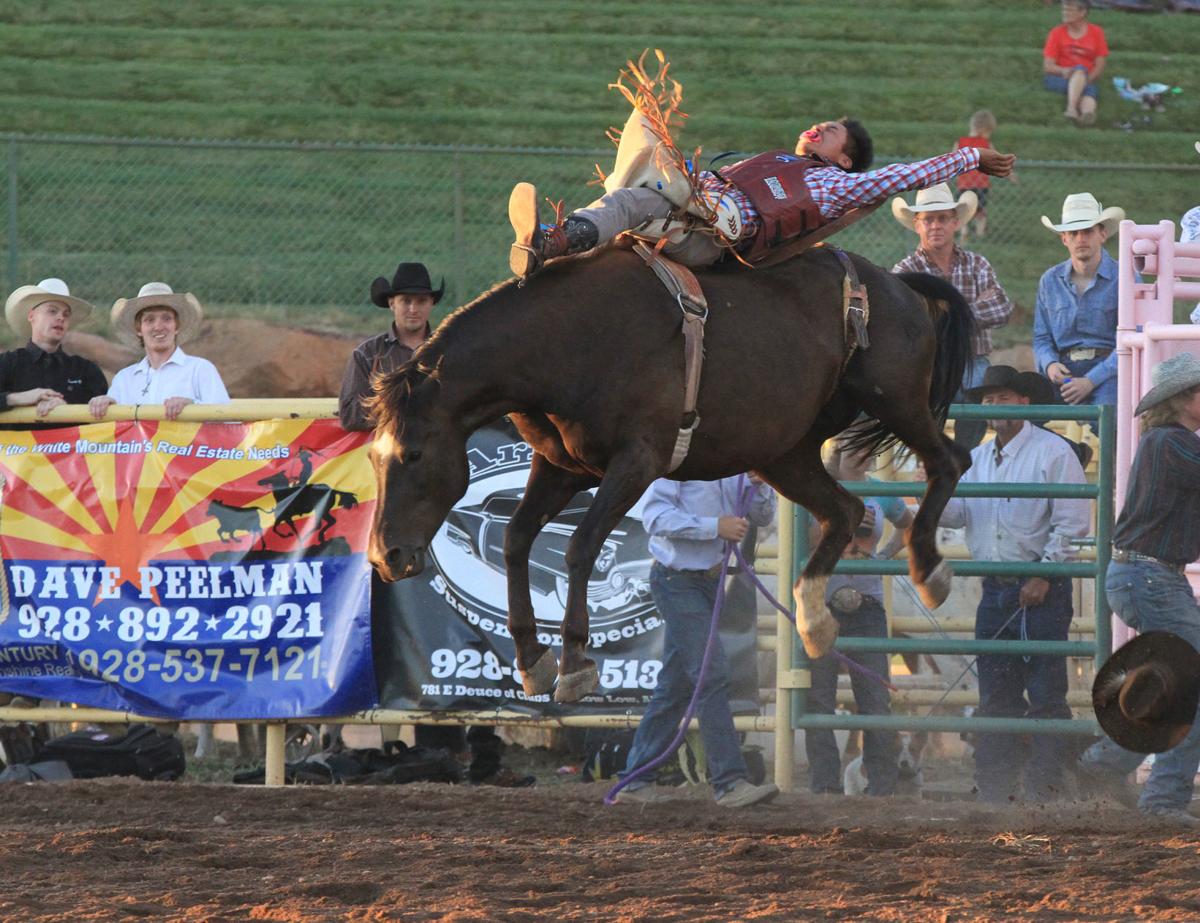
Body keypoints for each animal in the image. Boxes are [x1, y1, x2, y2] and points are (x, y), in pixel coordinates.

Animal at [364, 244, 974, 700]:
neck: (567, 340)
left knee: (950, 462)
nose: (385, 555)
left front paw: (576, 663)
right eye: (373, 456)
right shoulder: (562, 466)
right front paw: (533, 660)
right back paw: (815, 621)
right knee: (845, 511)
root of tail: (897, 285)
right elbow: (515, 539)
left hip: (895, 399)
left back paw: (930, 570)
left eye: (413, 453)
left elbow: (580, 546)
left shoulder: (637, 461)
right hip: (786, 454)